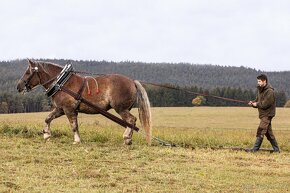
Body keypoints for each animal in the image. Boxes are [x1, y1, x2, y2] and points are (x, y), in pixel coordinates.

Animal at [16, 59, 152, 146]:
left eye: (28, 72)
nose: (18, 86)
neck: (62, 83)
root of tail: (132, 81)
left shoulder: (69, 110)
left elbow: (74, 126)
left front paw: (76, 140)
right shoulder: (60, 109)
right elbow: (47, 118)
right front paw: (46, 135)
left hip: (120, 108)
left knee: (131, 120)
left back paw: (127, 138)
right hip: (124, 109)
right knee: (129, 122)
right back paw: (128, 138)